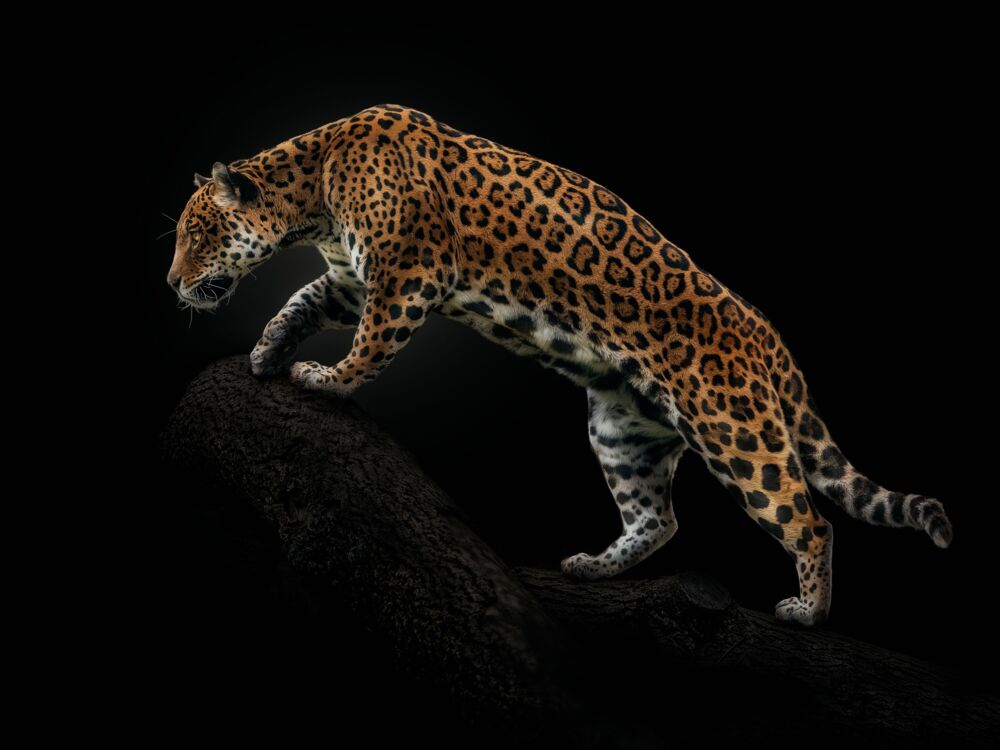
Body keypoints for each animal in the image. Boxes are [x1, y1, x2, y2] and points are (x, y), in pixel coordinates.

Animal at [166, 104, 951, 626]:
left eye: (197, 234)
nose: (171, 283)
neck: (313, 191)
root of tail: (773, 343)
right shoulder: (353, 281)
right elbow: (299, 299)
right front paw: (269, 349)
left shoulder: (408, 275)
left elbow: (371, 346)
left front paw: (326, 381)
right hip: (623, 429)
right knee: (659, 519)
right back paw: (593, 567)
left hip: (735, 430)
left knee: (808, 520)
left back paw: (808, 612)